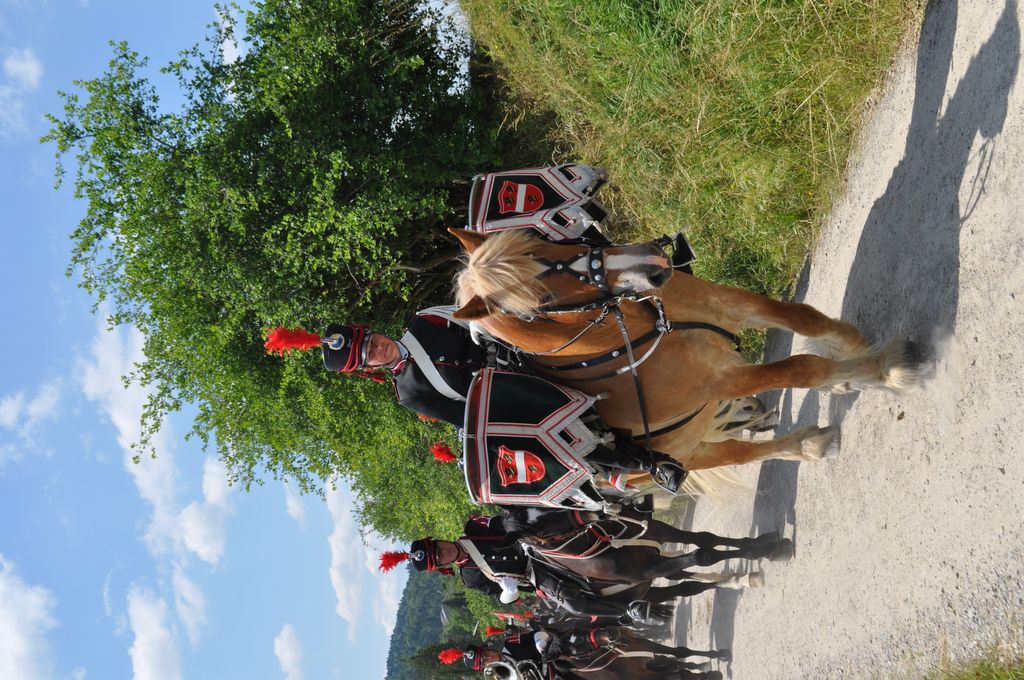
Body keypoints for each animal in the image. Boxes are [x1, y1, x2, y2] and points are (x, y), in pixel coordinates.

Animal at [452, 229, 925, 483]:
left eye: (539, 239)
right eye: (542, 300)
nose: (650, 264)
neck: (639, 330)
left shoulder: (727, 304)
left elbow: (805, 319)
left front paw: (854, 354)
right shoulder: (723, 380)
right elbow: (802, 368)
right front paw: (885, 370)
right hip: (691, 452)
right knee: (741, 453)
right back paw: (806, 444)